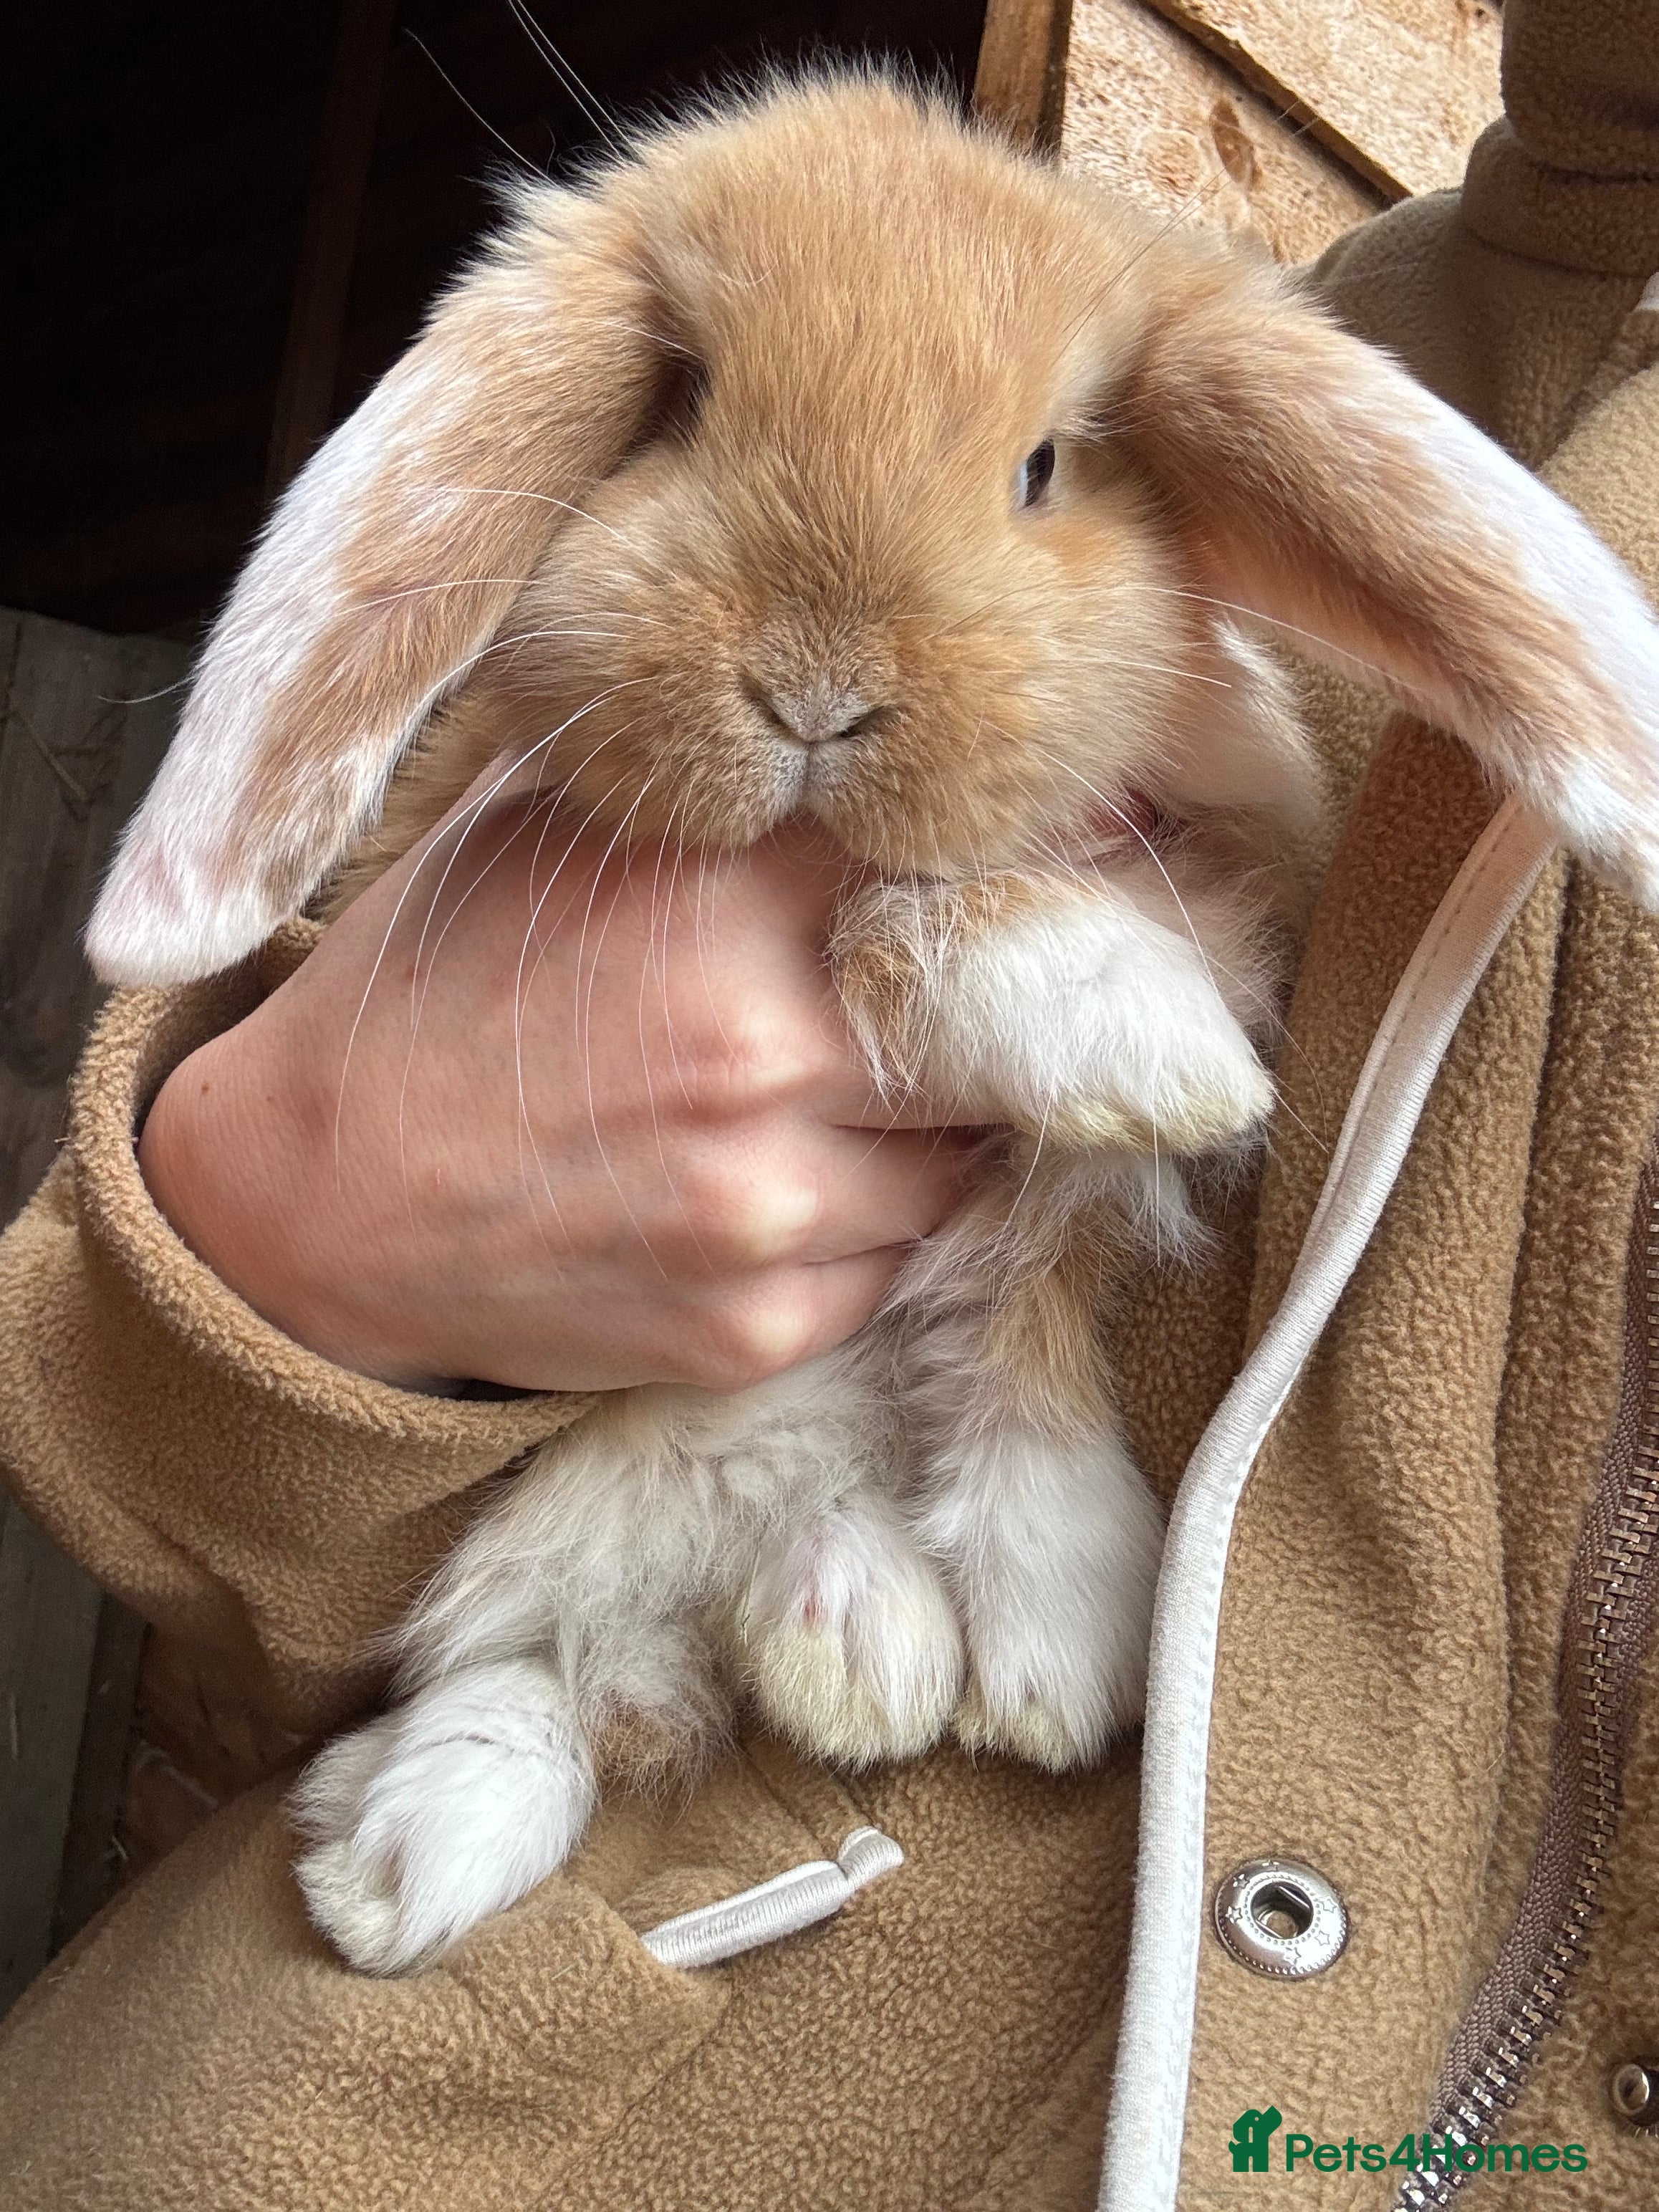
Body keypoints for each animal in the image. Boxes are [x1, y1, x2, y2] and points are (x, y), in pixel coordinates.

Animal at [88, 76, 1659, 1976]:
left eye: (1045, 463)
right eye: (682, 399)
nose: (815, 690)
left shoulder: (1209, 915)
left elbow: (996, 1136)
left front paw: (1165, 1073)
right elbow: (896, 912)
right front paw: (1146, 1038)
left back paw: (944, 1650)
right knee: (543, 1658)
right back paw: (415, 1853)